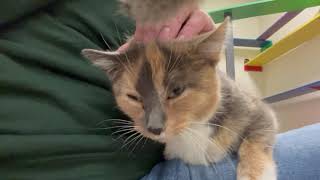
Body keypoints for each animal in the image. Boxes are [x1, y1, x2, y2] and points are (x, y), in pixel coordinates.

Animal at [82, 17, 278, 179]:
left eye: (176, 90)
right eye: (133, 97)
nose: (154, 128)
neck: (192, 129)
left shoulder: (251, 107)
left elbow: (258, 134)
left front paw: (254, 174)